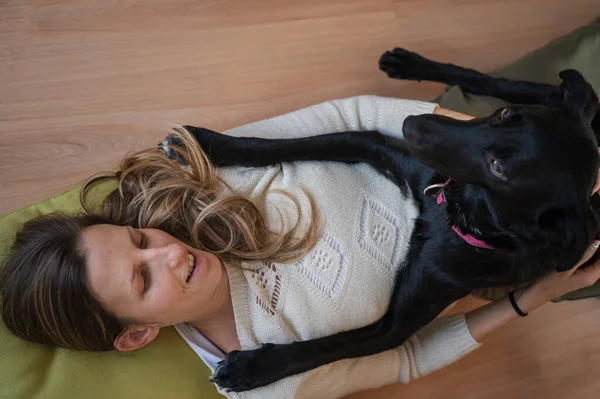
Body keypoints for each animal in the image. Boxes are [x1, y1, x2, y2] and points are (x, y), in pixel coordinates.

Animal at [161, 48, 600, 392]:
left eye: (499, 168)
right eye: (504, 116)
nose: (410, 123)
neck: (455, 211)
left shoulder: (394, 327)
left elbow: (321, 348)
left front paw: (253, 368)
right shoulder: (373, 144)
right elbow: (278, 145)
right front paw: (208, 143)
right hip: (557, 97)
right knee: (500, 81)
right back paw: (410, 63)